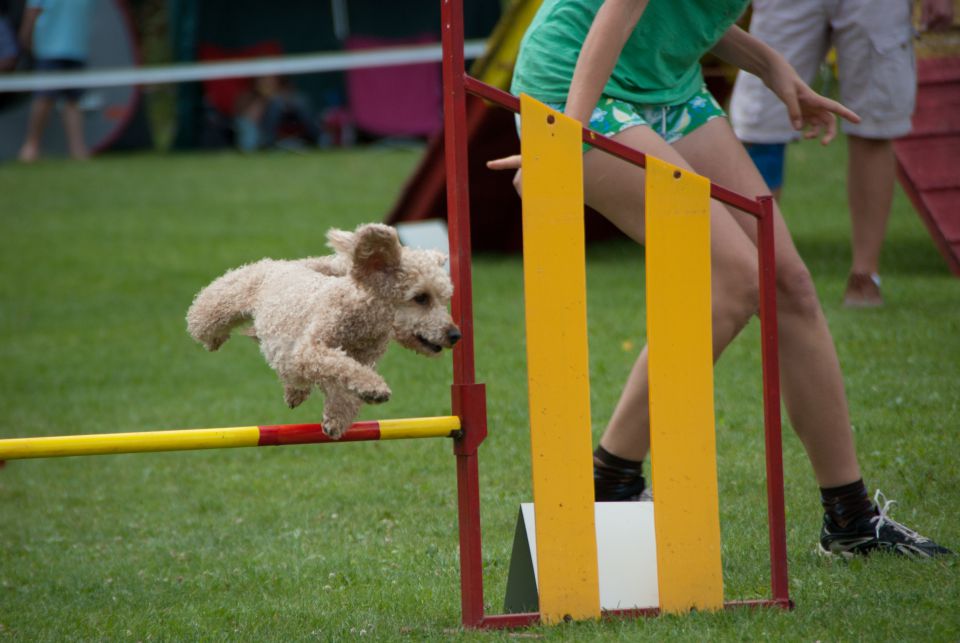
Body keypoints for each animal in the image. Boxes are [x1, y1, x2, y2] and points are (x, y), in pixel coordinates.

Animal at [187, 224, 462, 440]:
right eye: (421, 298)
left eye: (444, 298)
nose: (455, 335)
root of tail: (288, 264)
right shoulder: (310, 350)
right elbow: (342, 367)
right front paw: (375, 388)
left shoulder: (362, 359)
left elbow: (346, 388)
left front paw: (338, 419)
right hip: (226, 298)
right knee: (200, 318)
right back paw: (214, 338)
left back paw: (295, 393)